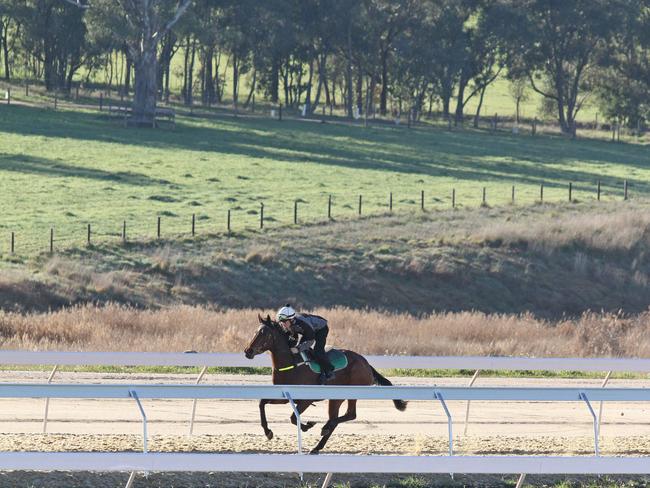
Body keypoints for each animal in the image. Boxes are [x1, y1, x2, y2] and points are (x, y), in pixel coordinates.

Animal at [243, 314, 404, 456]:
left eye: (264, 334)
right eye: (256, 331)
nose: (247, 351)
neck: (292, 364)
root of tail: (365, 362)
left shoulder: (306, 400)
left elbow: (293, 418)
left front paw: (307, 426)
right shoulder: (284, 395)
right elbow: (262, 403)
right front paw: (268, 432)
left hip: (351, 392)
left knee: (350, 415)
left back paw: (325, 428)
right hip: (335, 399)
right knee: (339, 418)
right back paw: (318, 444)